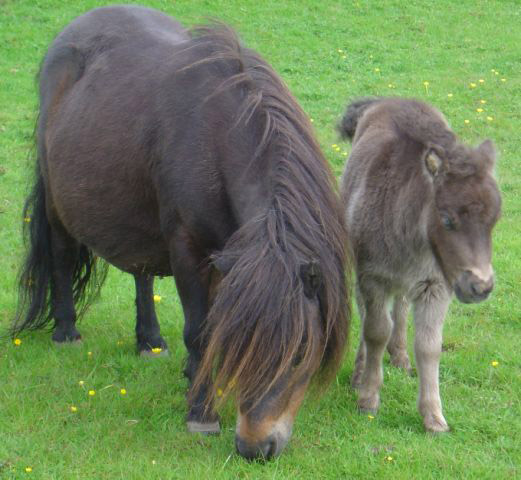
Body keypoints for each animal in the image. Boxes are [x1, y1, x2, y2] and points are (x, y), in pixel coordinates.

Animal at [11, 5, 350, 460]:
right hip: (57, 201)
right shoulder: (189, 249)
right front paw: (202, 413)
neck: (219, 134)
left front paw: (194, 377)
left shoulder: (229, 260)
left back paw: (150, 341)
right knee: (63, 256)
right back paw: (66, 333)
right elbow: (200, 331)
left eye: (299, 356)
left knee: (141, 272)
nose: (255, 447)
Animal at [338, 96, 500, 432]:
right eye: (448, 219)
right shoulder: (373, 276)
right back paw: (360, 371)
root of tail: (388, 99)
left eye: (494, 220)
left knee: (400, 304)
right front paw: (368, 398)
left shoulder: (436, 285)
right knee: (368, 312)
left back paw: (400, 356)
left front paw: (434, 417)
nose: (479, 287)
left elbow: (429, 346)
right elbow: (375, 331)